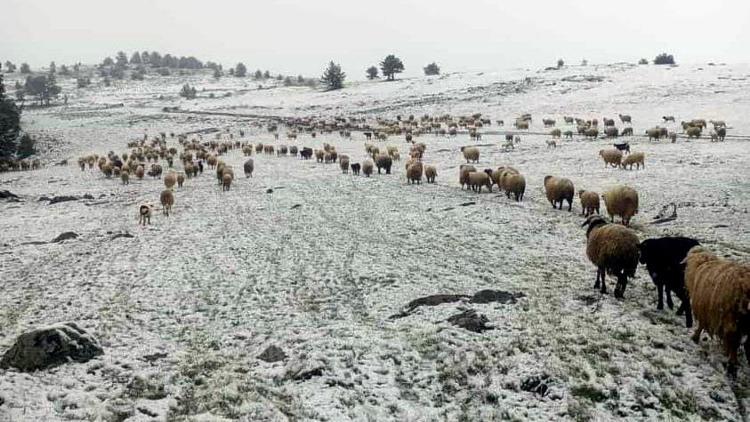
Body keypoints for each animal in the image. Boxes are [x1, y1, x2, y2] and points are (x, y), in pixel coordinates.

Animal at [684, 246, 750, 378]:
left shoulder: (705, 311)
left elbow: (701, 326)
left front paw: (694, 337)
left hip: (732, 319)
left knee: (734, 342)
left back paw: (731, 369)